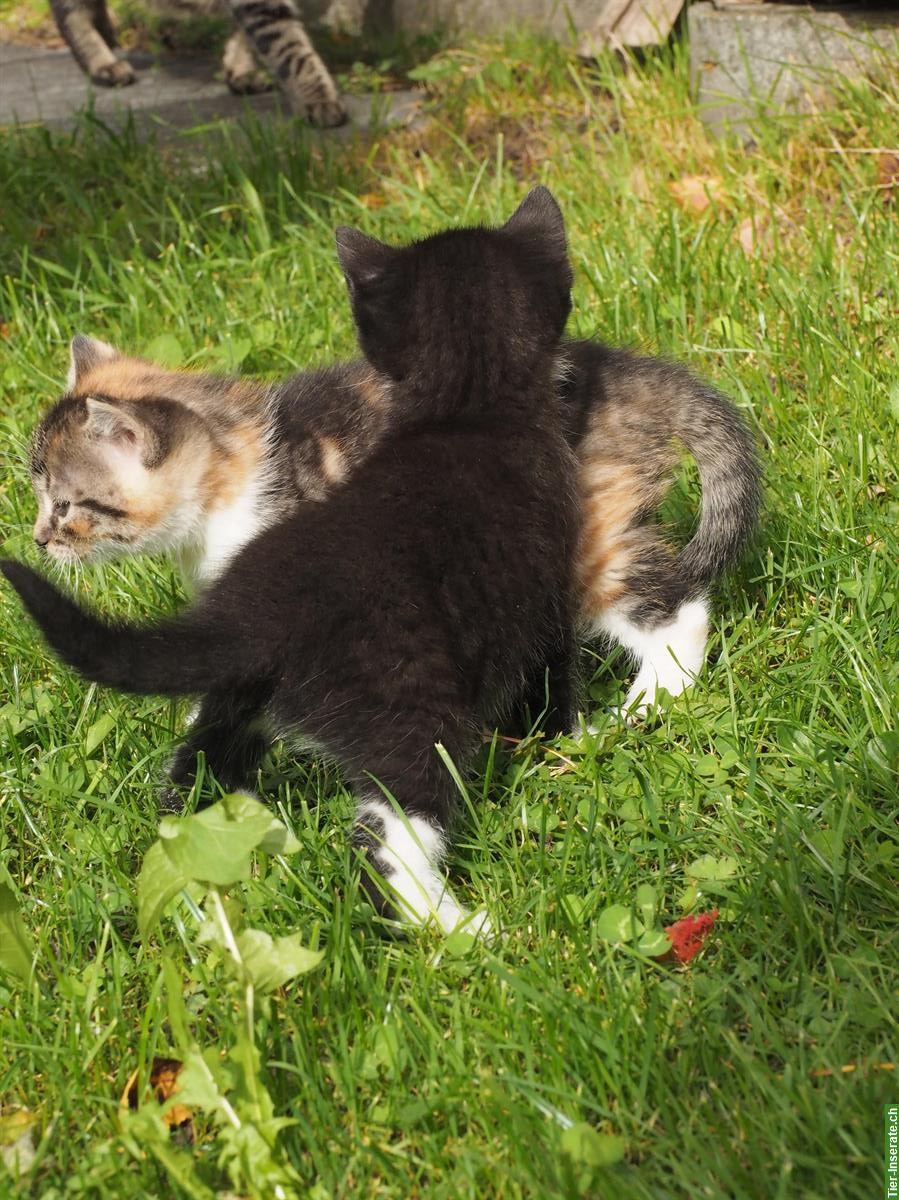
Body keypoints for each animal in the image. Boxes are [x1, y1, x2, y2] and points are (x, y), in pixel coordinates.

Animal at [26, 328, 758, 715]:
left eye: (64, 505)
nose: (37, 540)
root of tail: (613, 366)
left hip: (583, 537)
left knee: (676, 609)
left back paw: (649, 704)